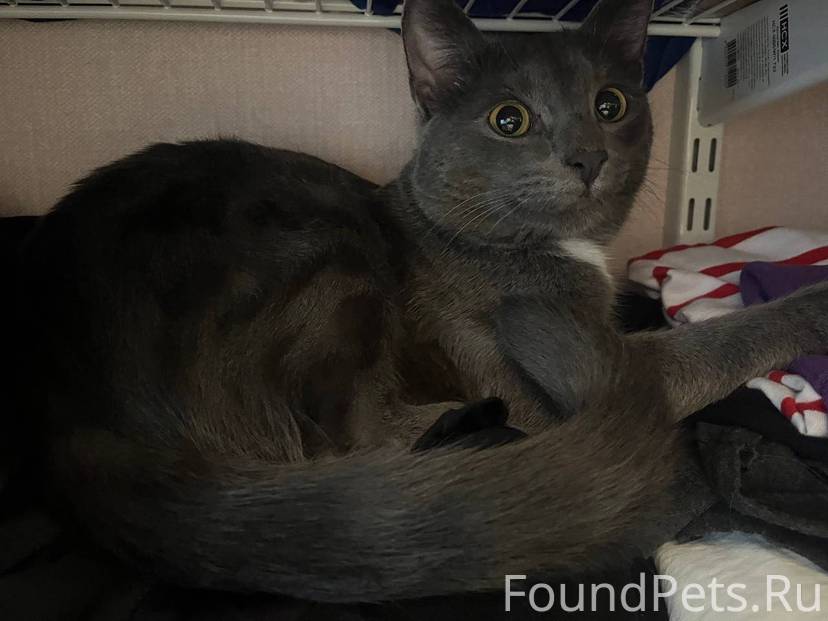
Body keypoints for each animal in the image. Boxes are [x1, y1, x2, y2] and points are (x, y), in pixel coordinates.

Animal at [20, 0, 828, 605]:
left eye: (611, 103)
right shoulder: (559, 358)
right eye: (509, 119)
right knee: (353, 434)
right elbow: (715, 344)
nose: (589, 157)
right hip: (325, 255)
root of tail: (72, 425)